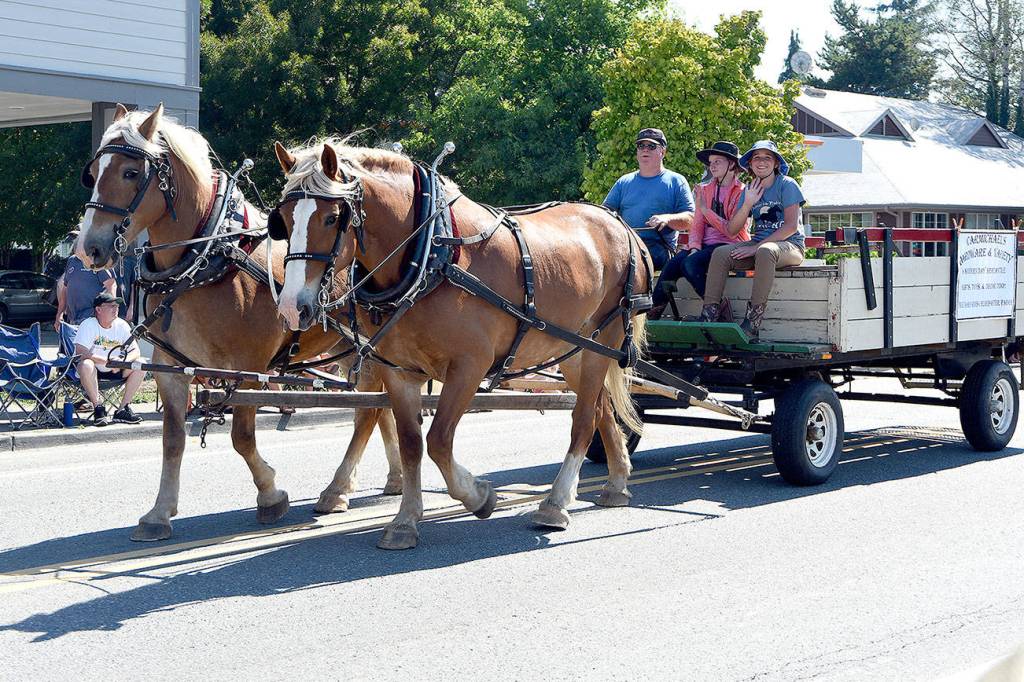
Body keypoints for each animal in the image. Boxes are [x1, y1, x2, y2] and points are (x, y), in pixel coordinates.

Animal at [76, 104, 402, 542]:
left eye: (130, 173)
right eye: (93, 173)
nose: (89, 248)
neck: (206, 258)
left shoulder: (249, 366)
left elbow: (242, 437)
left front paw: (271, 495)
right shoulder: (170, 367)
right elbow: (173, 440)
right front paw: (159, 513)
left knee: (368, 411)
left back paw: (336, 490)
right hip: (351, 348)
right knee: (382, 408)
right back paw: (393, 477)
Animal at [271, 138, 652, 549]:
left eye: (330, 219)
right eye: (284, 220)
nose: (292, 307)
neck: (430, 255)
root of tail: (620, 224)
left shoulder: (470, 365)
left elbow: (438, 440)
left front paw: (480, 496)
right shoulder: (400, 371)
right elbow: (411, 444)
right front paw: (405, 521)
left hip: (605, 339)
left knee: (583, 420)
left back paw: (556, 504)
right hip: (574, 349)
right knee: (600, 408)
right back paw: (616, 484)